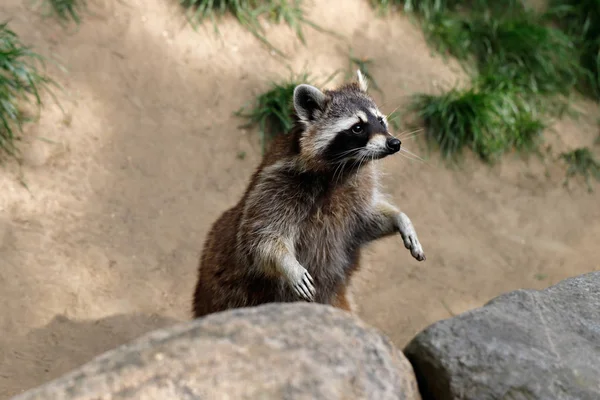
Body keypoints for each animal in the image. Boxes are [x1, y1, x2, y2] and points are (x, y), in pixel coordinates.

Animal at [191, 70, 422, 318]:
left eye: (380, 120)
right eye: (357, 127)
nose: (394, 143)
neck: (346, 167)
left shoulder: (356, 194)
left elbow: (367, 222)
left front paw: (400, 218)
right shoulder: (277, 186)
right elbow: (260, 239)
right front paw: (287, 264)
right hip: (229, 294)